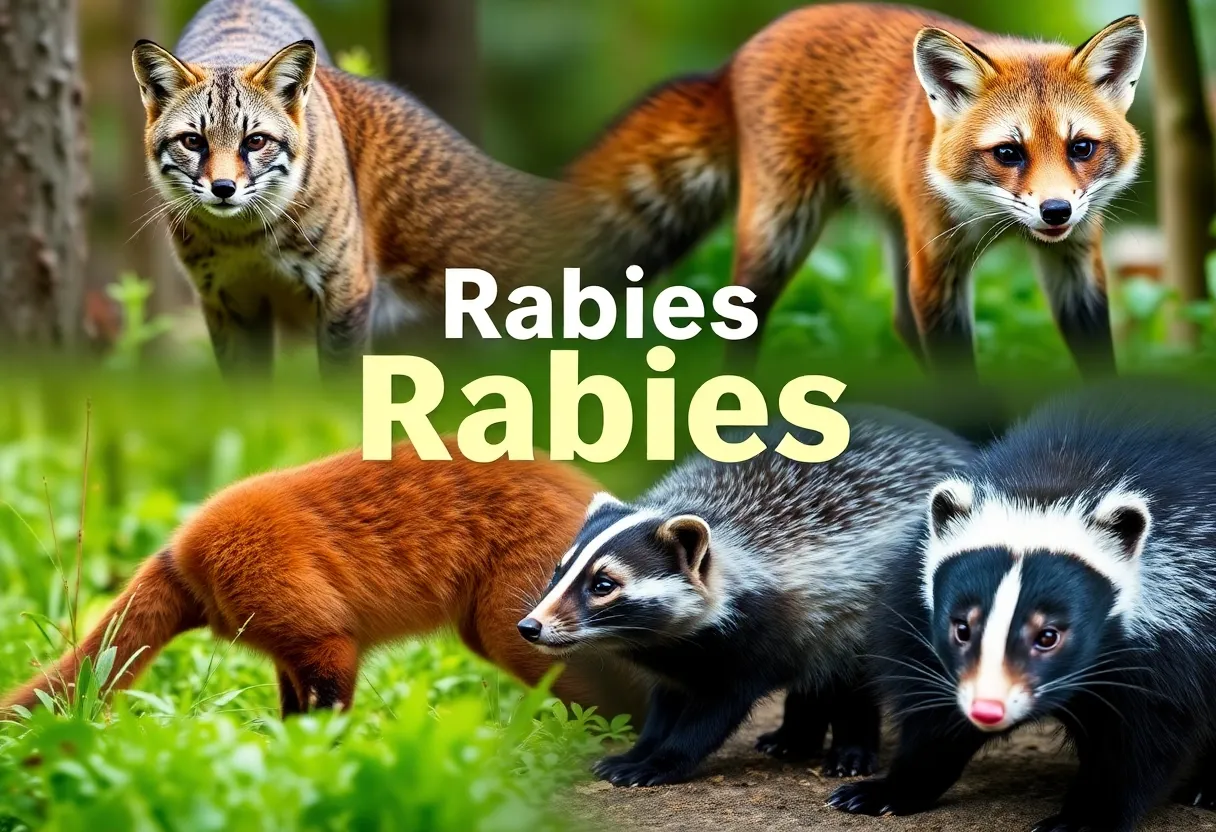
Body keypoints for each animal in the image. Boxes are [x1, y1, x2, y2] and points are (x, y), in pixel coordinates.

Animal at [133, 0, 576, 378]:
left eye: (255, 141)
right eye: (193, 141)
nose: (223, 188)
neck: (247, 240)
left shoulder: (344, 290)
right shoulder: (226, 300)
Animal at [519, 409, 972, 787]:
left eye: (604, 584)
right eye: (560, 569)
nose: (531, 626)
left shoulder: (758, 635)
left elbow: (713, 712)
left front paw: (659, 763)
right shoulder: (679, 653)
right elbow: (666, 703)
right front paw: (636, 752)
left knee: (850, 680)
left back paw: (849, 753)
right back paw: (791, 739)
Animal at [568, 5, 1147, 376]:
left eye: (1081, 148)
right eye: (1008, 153)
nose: (1055, 211)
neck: (994, 222)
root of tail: (734, 60)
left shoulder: (1076, 261)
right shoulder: (937, 268)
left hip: (892, 229)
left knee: (899, 323)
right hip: (782, 231)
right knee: (739, 320)